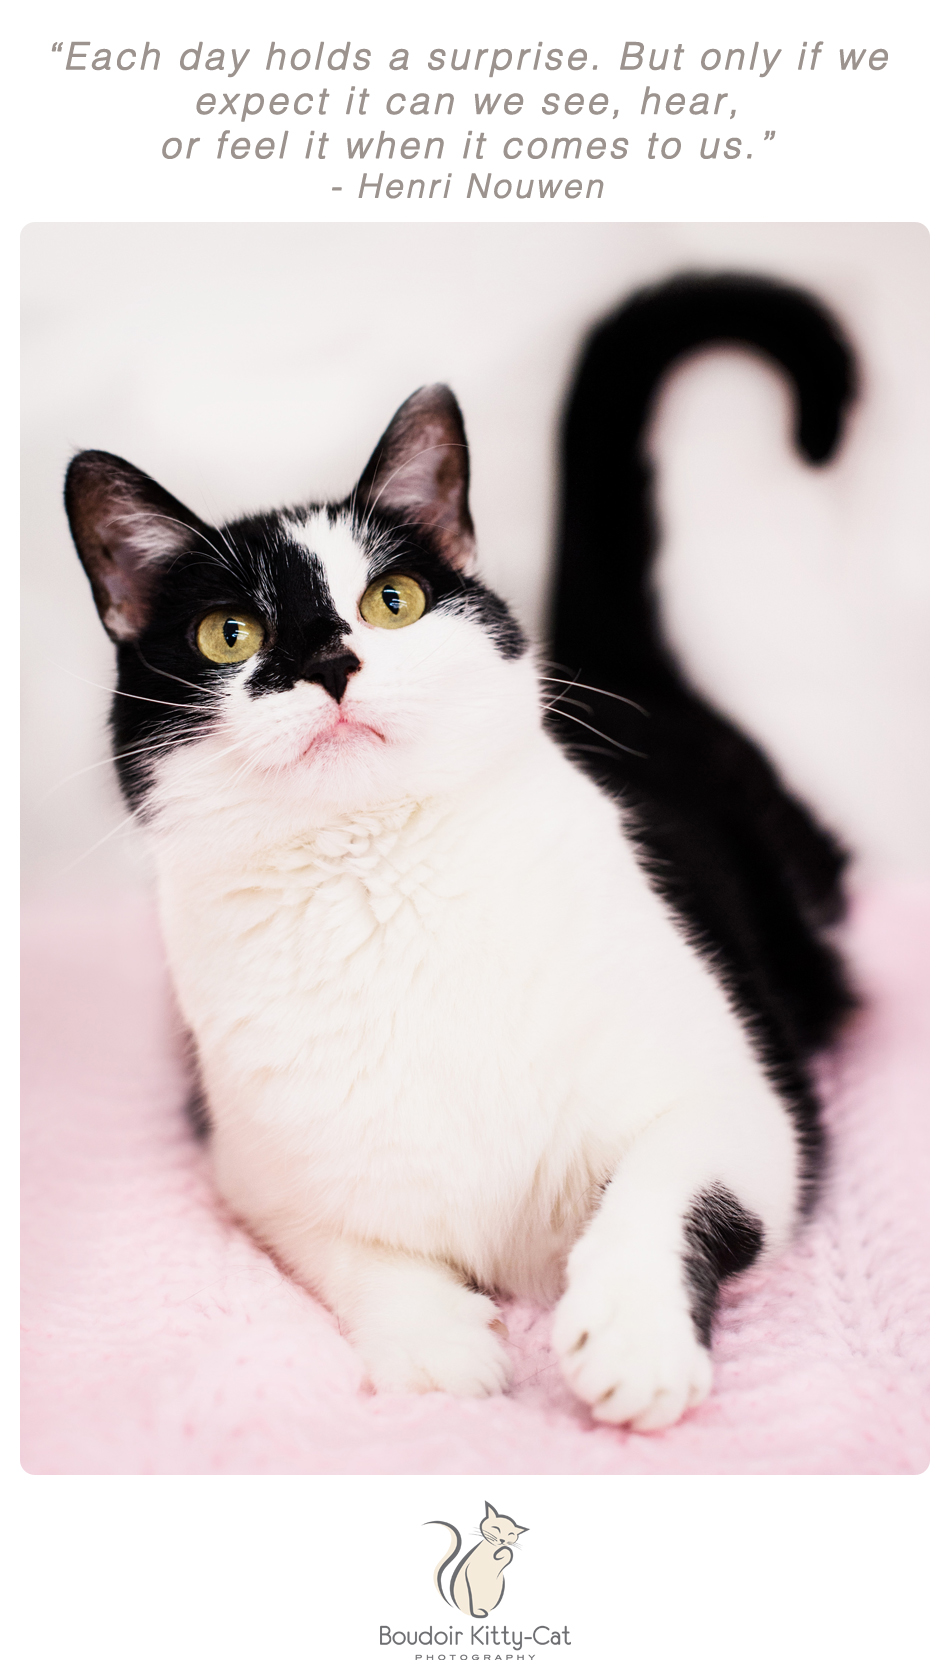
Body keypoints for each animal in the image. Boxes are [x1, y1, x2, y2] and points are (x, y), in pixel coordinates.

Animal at [64, 275, 850, 1431]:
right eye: (228, 635)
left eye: (392, 602)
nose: (329, 660)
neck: (381, 886)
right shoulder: (250, 1170)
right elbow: (346, 1247)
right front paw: (434, 1342)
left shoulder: (751, 1105)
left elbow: (668, 1178)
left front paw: (631, 1335)